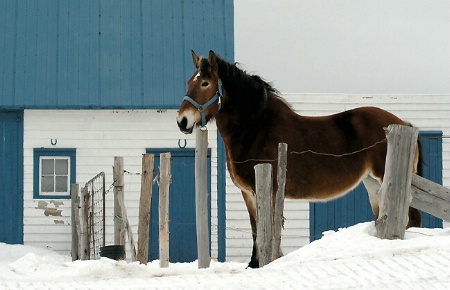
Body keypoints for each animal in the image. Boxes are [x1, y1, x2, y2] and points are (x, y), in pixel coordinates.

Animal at [177, 49, 422, 268]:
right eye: (189, 81)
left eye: (205, 83)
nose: (182, 121)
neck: (258, 128)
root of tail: (404, 124)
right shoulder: (248, 193)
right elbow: (256, 228)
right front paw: (253, 264)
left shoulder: (268, 189)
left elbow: (269, 227)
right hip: (372, 183)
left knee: (408, 217)